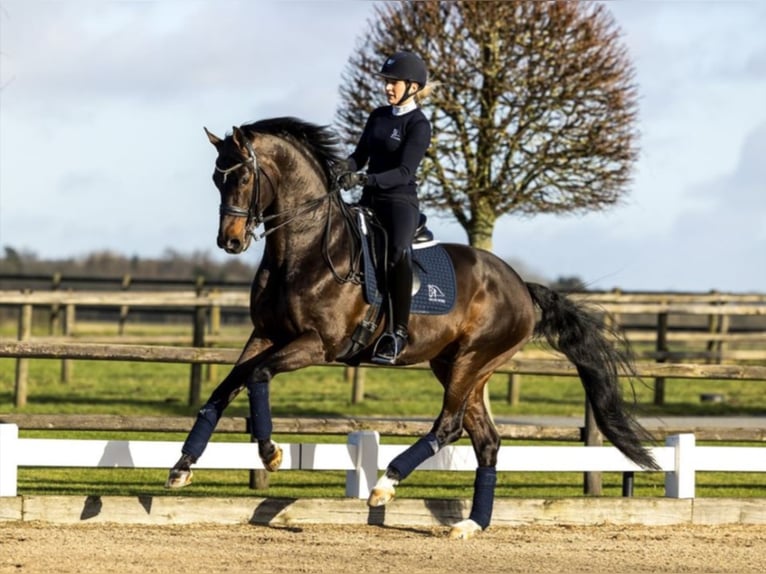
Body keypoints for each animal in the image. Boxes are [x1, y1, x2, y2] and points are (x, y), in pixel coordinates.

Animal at [168, 116, 660, 540]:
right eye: (216, 178)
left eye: (243, 177)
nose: (230, 241)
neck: (305, 249)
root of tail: (521, 285)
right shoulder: (266, 335)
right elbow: (225, 387)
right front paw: (183, 464)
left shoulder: (317, 344)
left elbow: (258, 375)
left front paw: (270, 452)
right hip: (456, 365)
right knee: (486, 440)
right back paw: (471, 524)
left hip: (472, 360)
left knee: (449, 426)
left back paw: (385, 484)